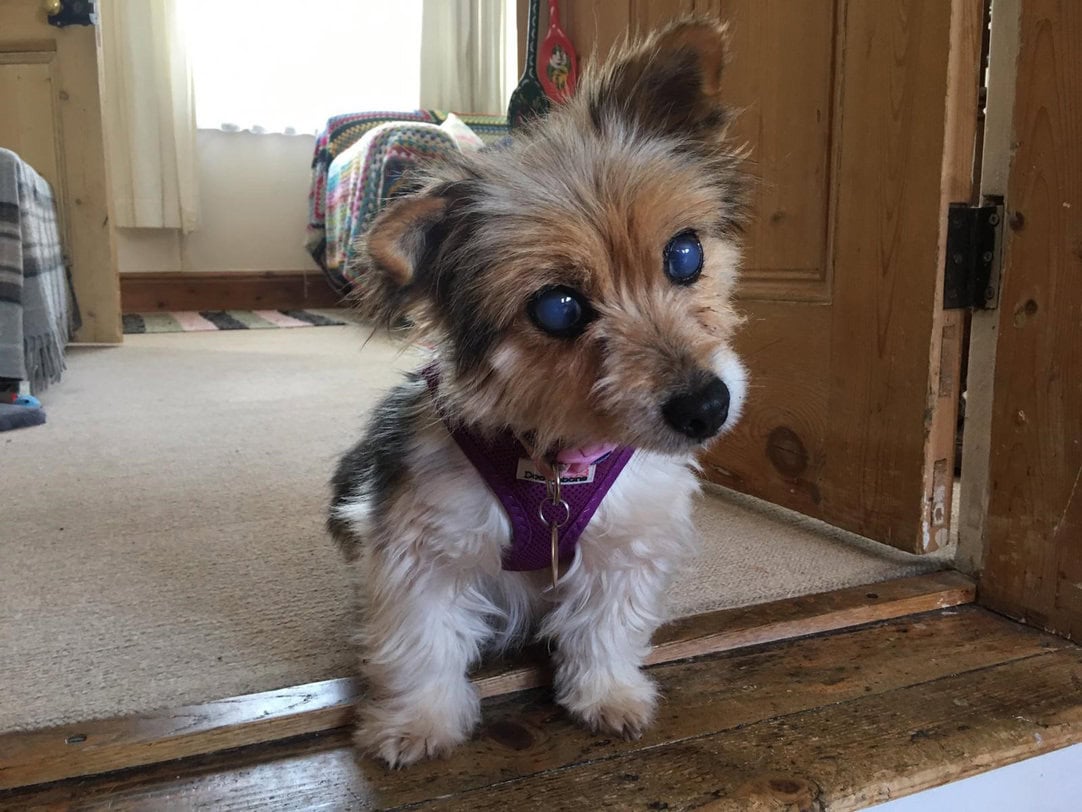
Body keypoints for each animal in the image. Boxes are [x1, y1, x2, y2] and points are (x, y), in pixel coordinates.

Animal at [328, 19, 748, 770]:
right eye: (558, 309)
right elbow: (421, 643)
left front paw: (607, 693)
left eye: (685, 255)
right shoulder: (420, 550)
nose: (706, 407)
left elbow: (606, 628)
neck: (555, 457)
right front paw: (416, 722)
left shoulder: (627, 544)